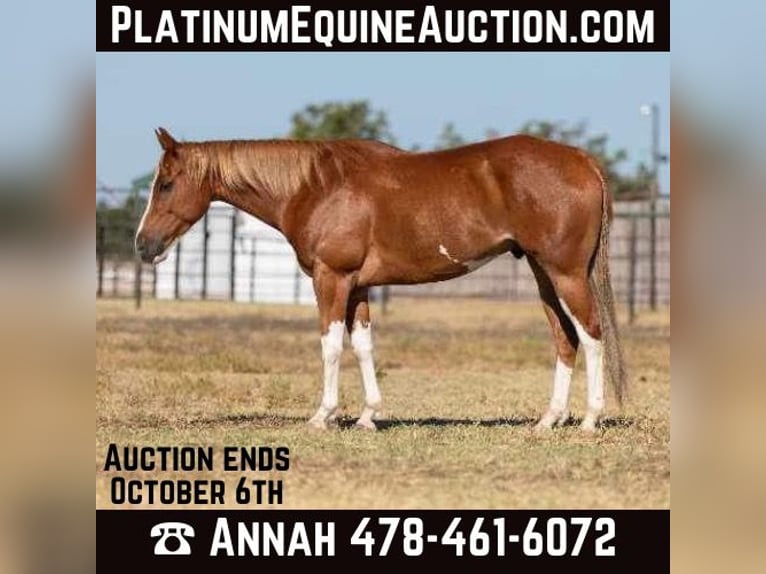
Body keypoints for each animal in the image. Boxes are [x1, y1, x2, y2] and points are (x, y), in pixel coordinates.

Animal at [135, 127, 627, 433]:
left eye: (165, 184)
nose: (143, 245)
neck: (315, 187)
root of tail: (581, 160)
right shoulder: (358, 286)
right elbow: (364, 346)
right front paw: (368, 415)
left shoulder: (331, 279)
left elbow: (331, 346)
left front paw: (324, 416)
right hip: (544, 275)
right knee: (565, 338)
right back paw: (549, 419)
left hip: (565, 274)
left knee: (591, 334)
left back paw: (589, 419)